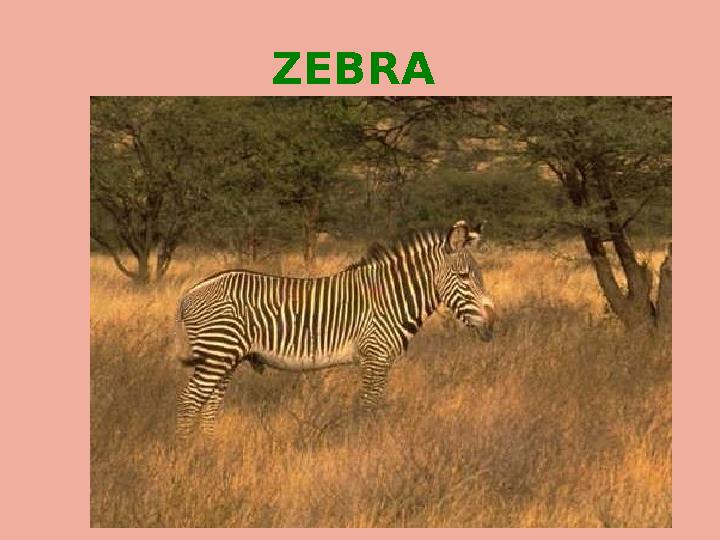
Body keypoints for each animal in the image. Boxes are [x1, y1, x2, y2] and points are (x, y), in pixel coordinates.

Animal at [173, 220, 496, 437]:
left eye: (478, 275)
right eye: (464, 276)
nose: (493, 323)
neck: (389, 297)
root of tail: (189, 292)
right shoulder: (375, 357)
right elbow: (369, 407)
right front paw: (366, 449)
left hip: (224, 356)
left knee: (210, 403)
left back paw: (208, 448)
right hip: (217, 352)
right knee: (189, 402)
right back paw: (188, 454)